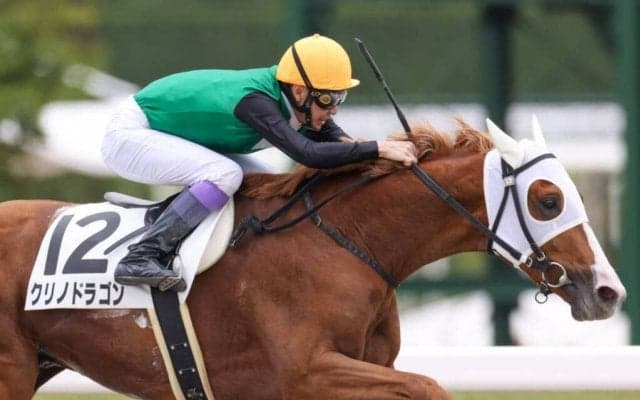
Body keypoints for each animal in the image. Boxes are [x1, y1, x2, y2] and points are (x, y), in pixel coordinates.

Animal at [1, 118, 626, 400]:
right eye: (548, 200)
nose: (608, 292)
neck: (344, 243)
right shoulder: (307, 372)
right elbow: (429, 386)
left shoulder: (366, 368)